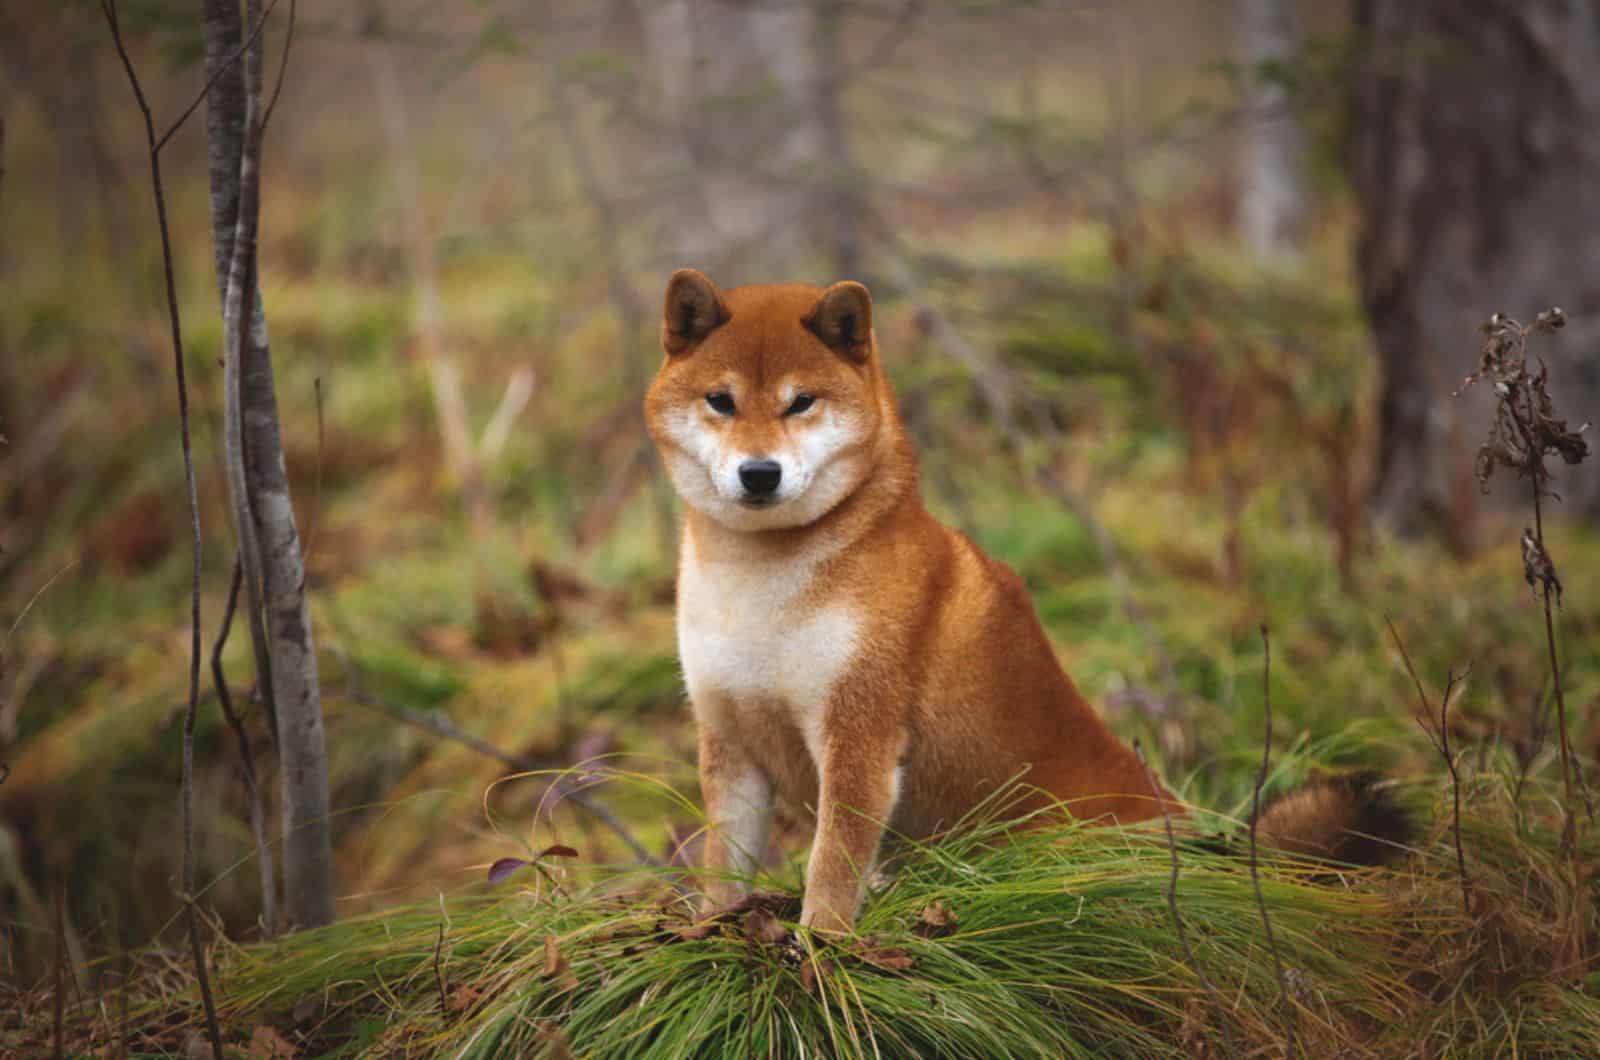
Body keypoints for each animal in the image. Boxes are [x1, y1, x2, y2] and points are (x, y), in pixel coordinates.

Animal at [643, 270, 1408, 935]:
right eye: (721, 401)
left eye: (801, 401)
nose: (760, 473)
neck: (762, 588)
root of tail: (1204, 843)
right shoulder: (731, 741)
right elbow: (721, 869)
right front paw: (709, 931)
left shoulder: (859, 739)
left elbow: (831, 868)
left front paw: (820, 950)